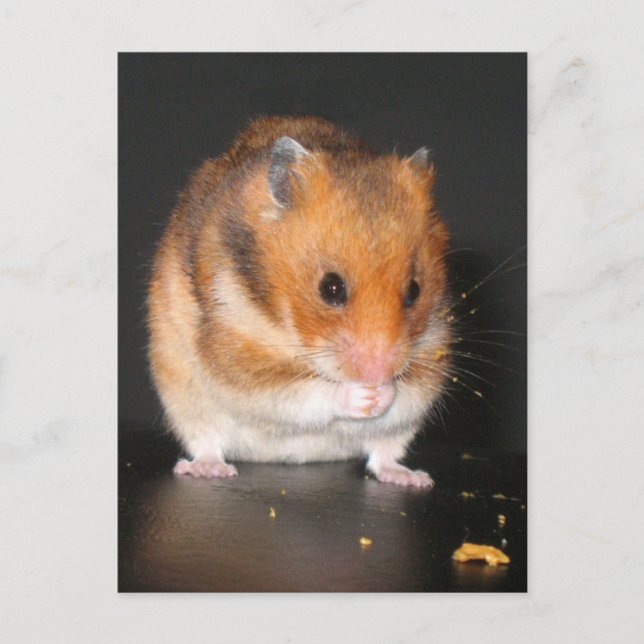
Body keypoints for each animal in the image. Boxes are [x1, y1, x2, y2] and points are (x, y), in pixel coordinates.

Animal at [147, 115, 451, 487]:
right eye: (331, 288)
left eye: (414, 291)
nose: (377, 374)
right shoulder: (239, 352)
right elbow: (308, 391)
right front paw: (364, 394)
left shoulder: (431, 356)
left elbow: (406, 392)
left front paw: (381, 393)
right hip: (187, 402)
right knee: (207, 442)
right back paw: (209, 469)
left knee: (383, 455)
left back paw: (414, 478)